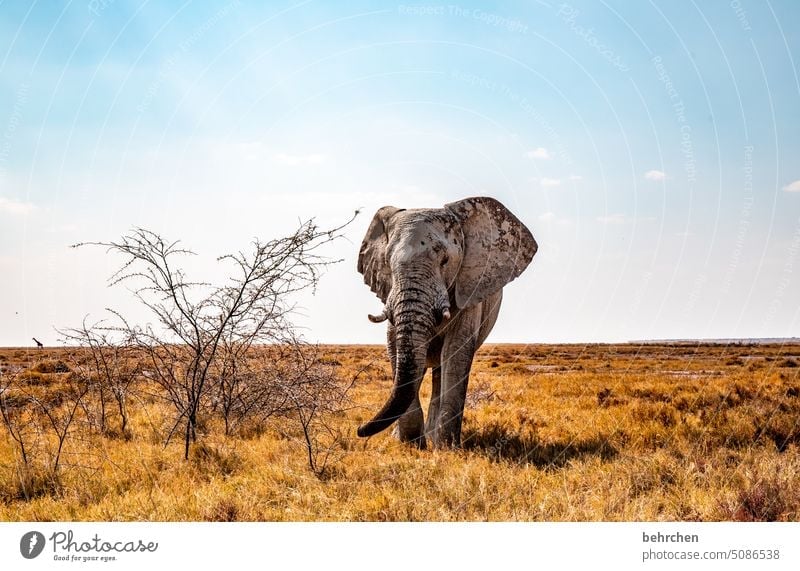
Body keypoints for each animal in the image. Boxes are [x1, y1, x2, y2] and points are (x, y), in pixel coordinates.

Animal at [356, 197, 536, 452]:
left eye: (445, 261)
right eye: (387, 264)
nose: (359, 430)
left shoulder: (469, 289)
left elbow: (456, 351)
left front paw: (446, 449)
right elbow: (394, 346)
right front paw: (410, 445)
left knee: (439, 369)